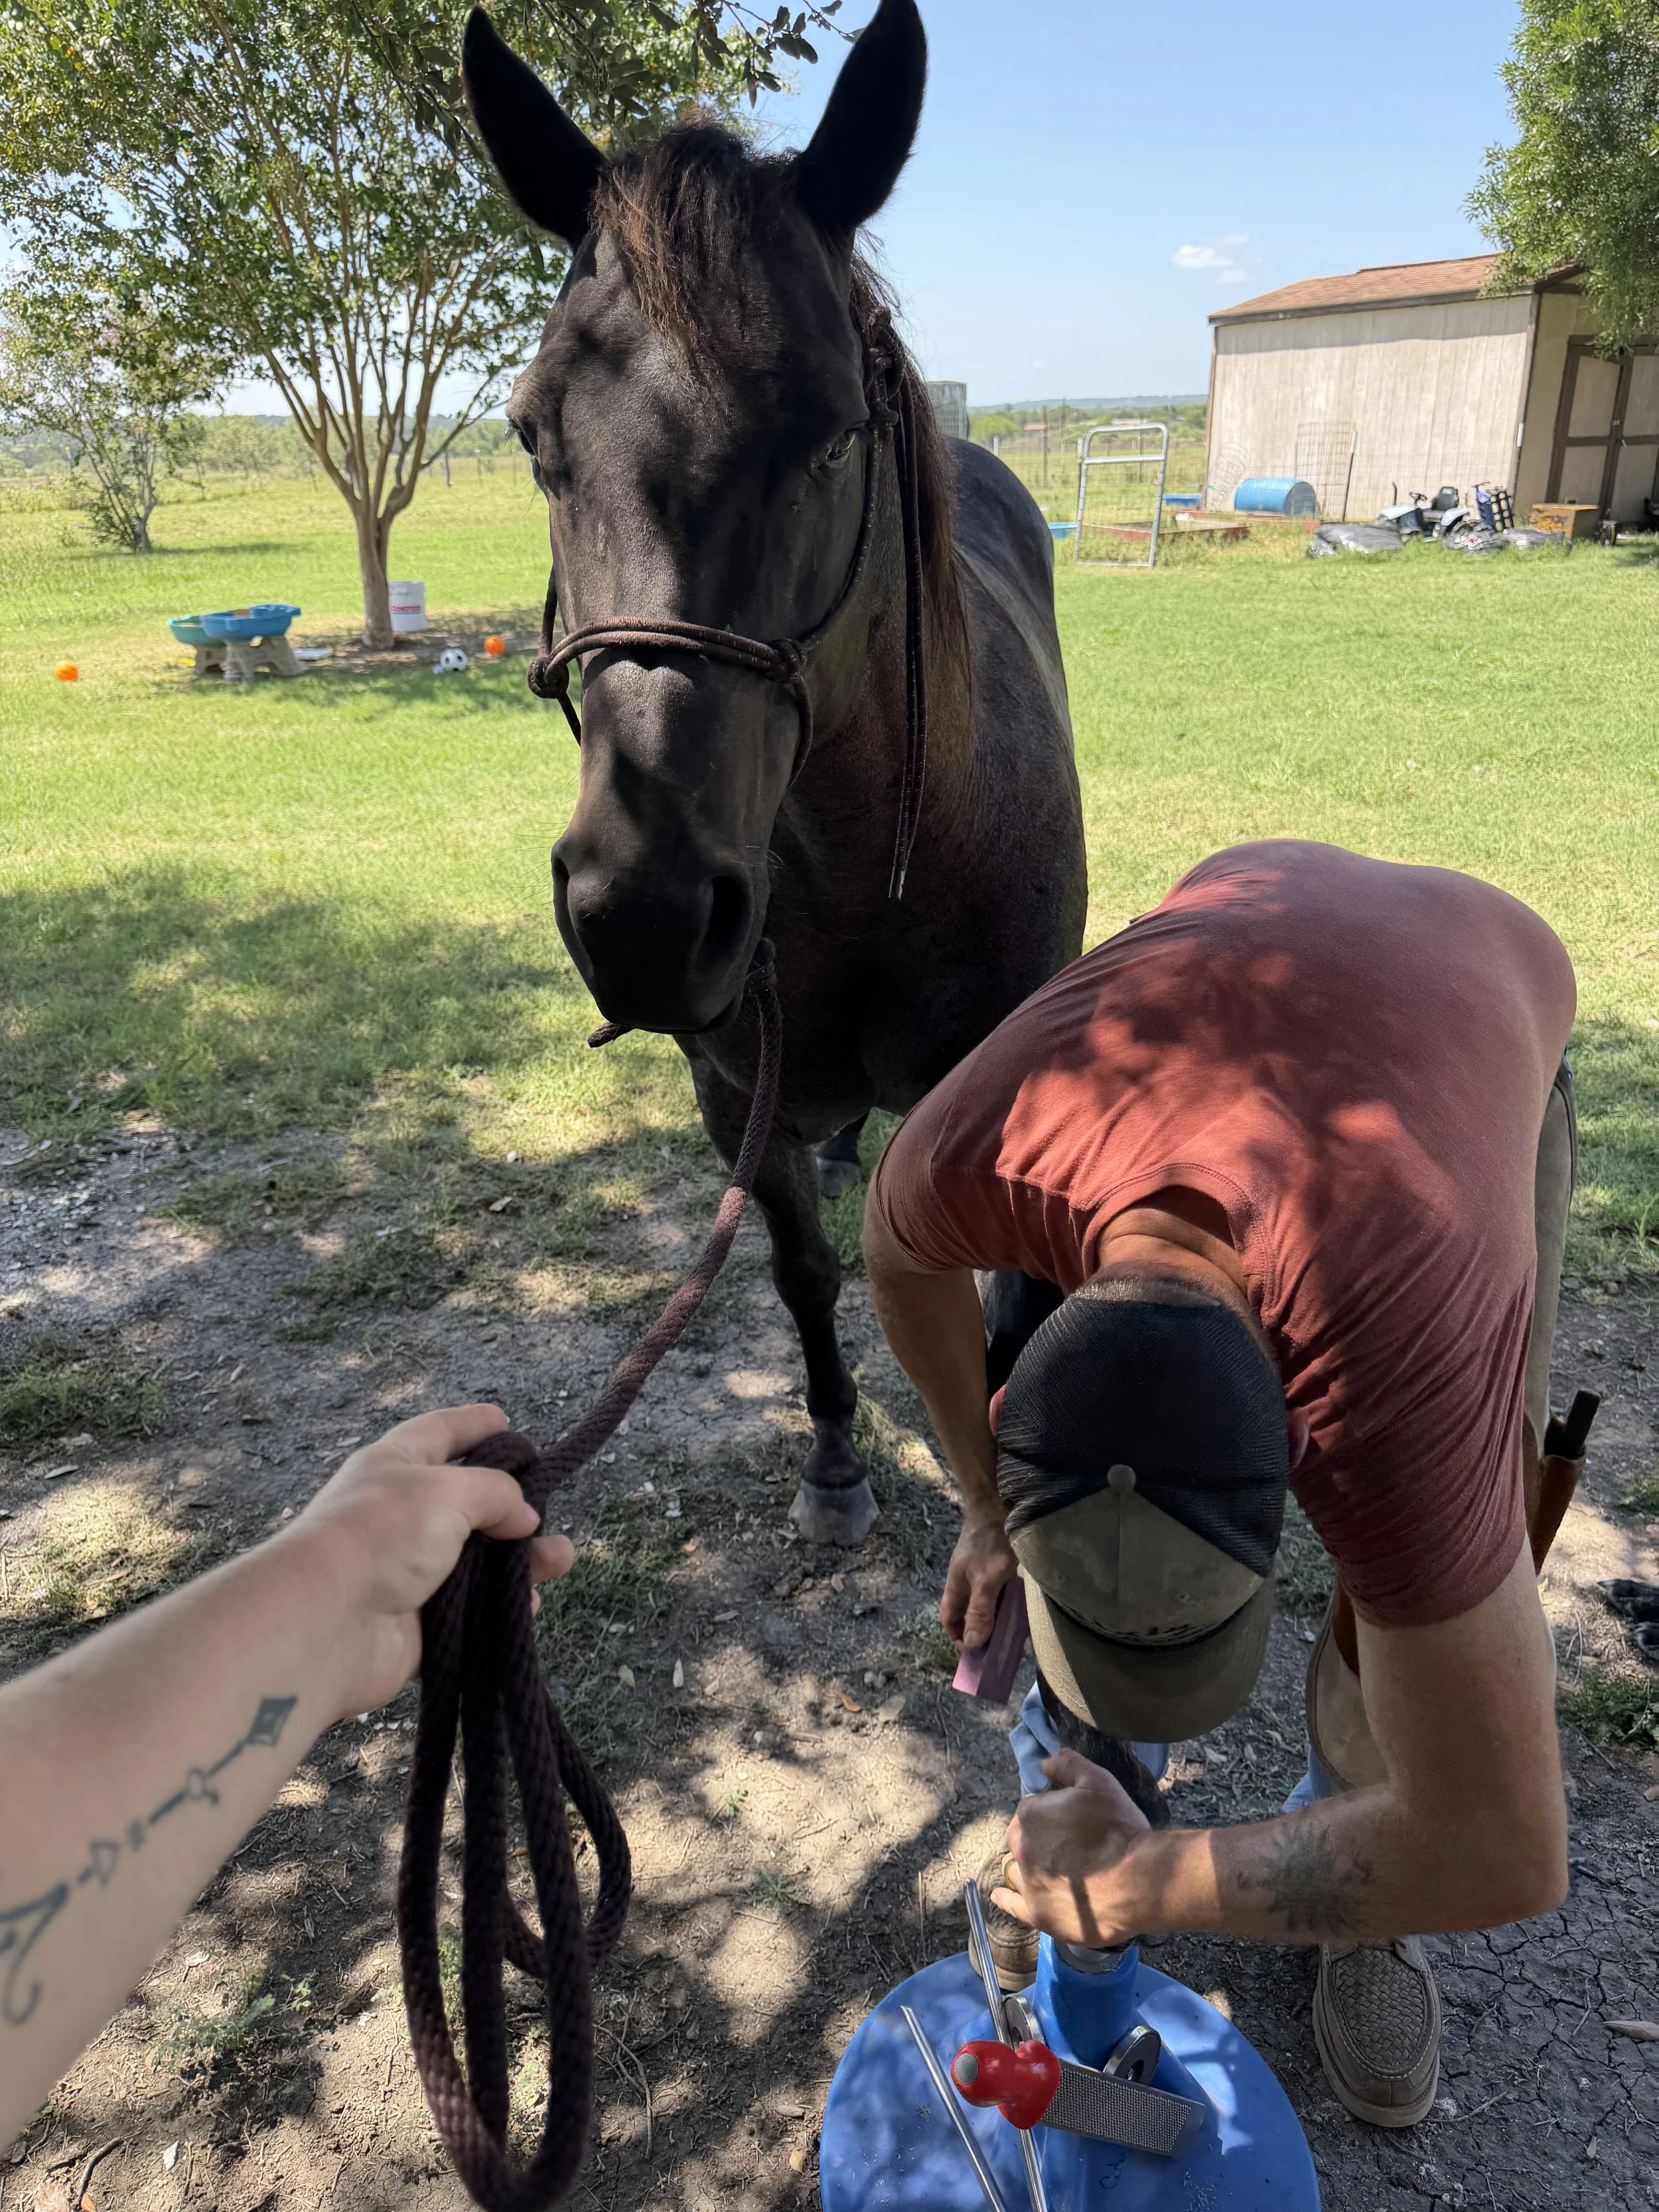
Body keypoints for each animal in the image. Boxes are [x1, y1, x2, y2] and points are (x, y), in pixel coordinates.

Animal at [462, 0, 1086, 1543]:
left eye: (828, 430)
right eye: (532, 433)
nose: (642, 917)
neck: (865, 877)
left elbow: (996, 1312)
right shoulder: (726, 1090)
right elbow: (803, 1268)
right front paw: (835, 1459)